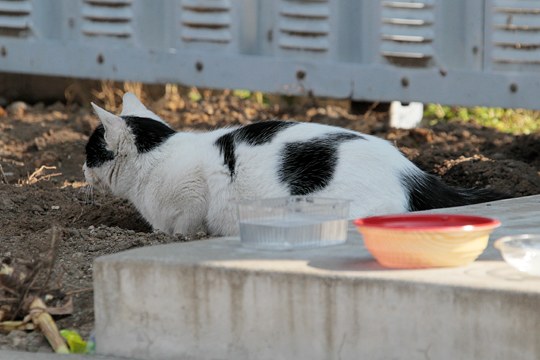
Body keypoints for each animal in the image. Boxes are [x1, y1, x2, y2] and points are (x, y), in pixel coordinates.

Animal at [83, 93, 502, 236]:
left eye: (89, 153)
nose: (81, 170)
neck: (158, 154)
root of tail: (412, 171)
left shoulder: (192, 201)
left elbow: (184, 226)